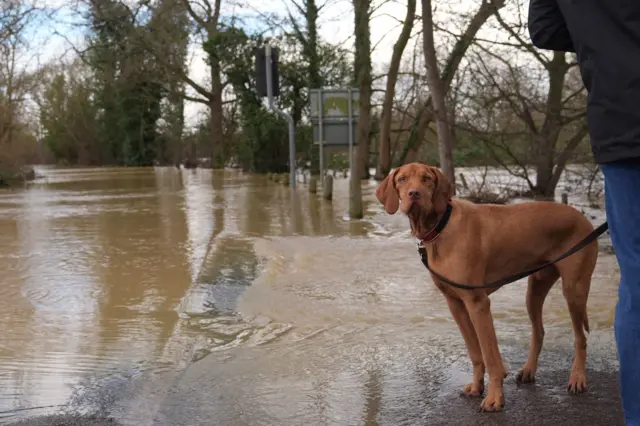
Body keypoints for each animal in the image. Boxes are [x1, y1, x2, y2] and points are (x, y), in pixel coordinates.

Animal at [378, 162, 596, 412]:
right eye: (402, 179)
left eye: (426, 179)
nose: (414, 194)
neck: (441, 227)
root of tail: (583, 218)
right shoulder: (455, 304)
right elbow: (475, 352)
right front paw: (476, 386)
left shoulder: (478, 303)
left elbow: (490, 356)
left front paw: (494, 398)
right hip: (535, 289)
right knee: (539, 331)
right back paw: (529, 370)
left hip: (574, 289)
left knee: (581, 338)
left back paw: (577, 378)